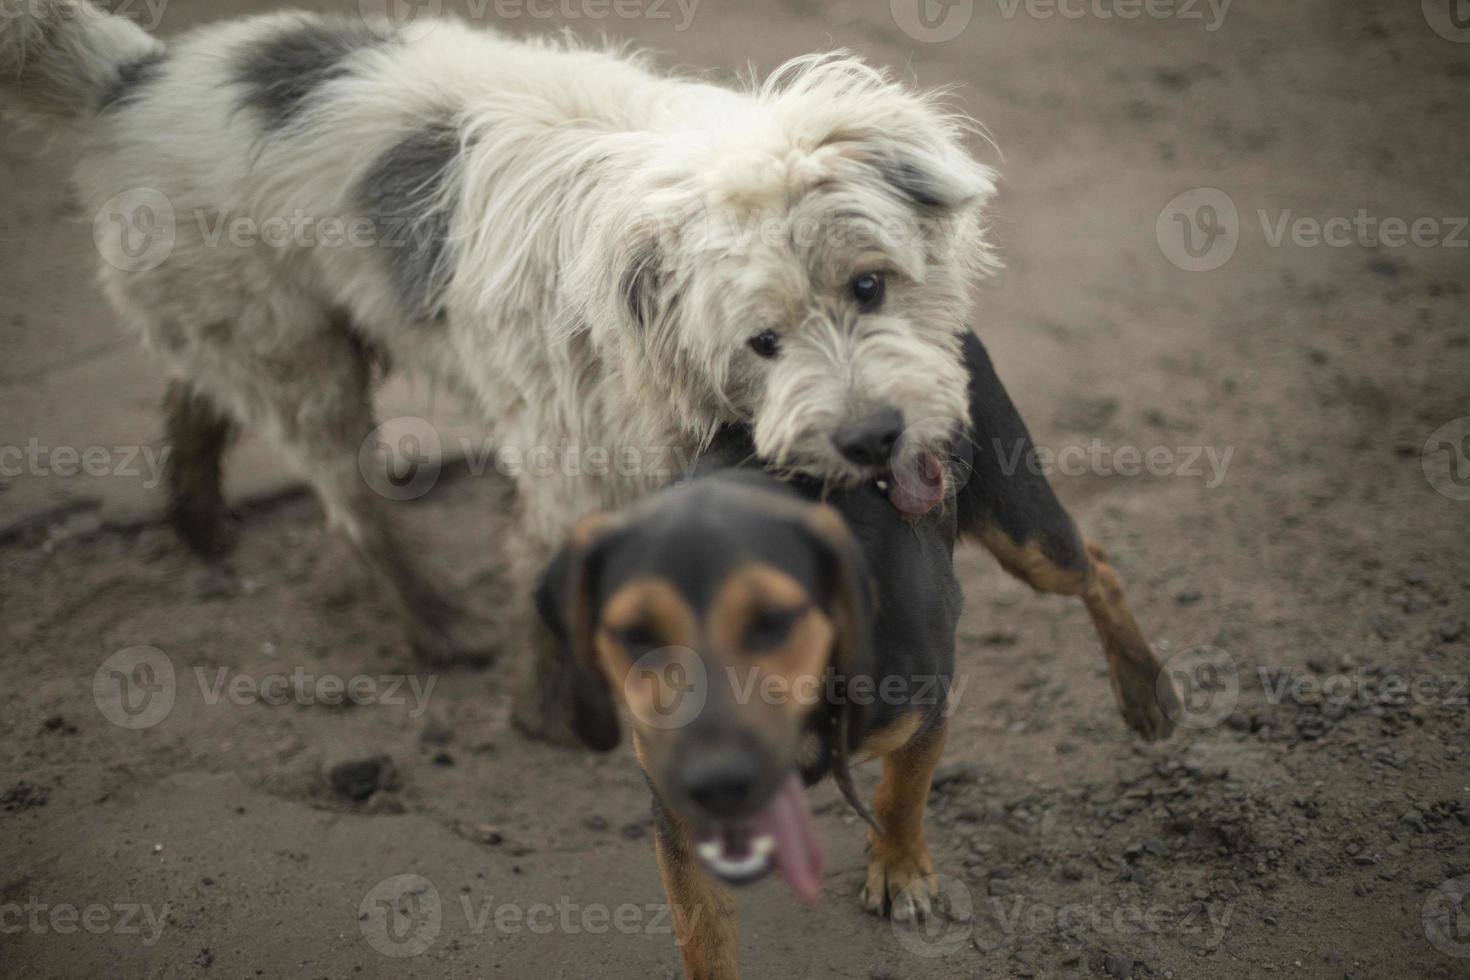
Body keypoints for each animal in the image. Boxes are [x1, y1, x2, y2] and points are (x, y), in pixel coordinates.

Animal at [2, 0, 999, 734]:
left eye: (868, 284)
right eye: (762, 341)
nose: (873, 438)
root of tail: (128, 77)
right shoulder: (570, 456)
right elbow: (545, 563)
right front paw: (549, 714)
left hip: (253, 325)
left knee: (194, 393)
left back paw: (200, 521)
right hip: (297, 357)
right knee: (348, 496)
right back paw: (437, 626)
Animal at [535, 333, 1176, 975]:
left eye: (773, 620)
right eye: (634, 633)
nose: (715, 778)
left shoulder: (926, 711)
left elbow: (902, 794)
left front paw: (899, 868)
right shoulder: (679, 814)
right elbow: (705, 941)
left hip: (1022, 528)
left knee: (1096, 563)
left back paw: (1146, 690)